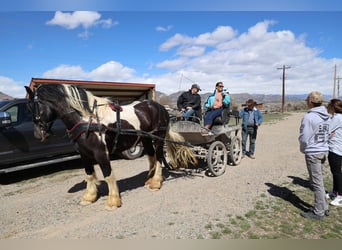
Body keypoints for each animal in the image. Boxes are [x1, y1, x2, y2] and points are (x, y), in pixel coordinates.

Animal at [25, 83, 196, 209]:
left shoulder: (101, 153)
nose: (38, 135)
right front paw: (89, 197)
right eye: (28, 108)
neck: (87, 120)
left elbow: (107, 175)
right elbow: (89, 175)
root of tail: (160, 107)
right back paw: (149, 179)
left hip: (158, 138)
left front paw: (113, 200)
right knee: (151, 157)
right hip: (146, 139)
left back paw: (156, 182)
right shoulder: (84, 154)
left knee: (159, 157)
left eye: (35, 106)